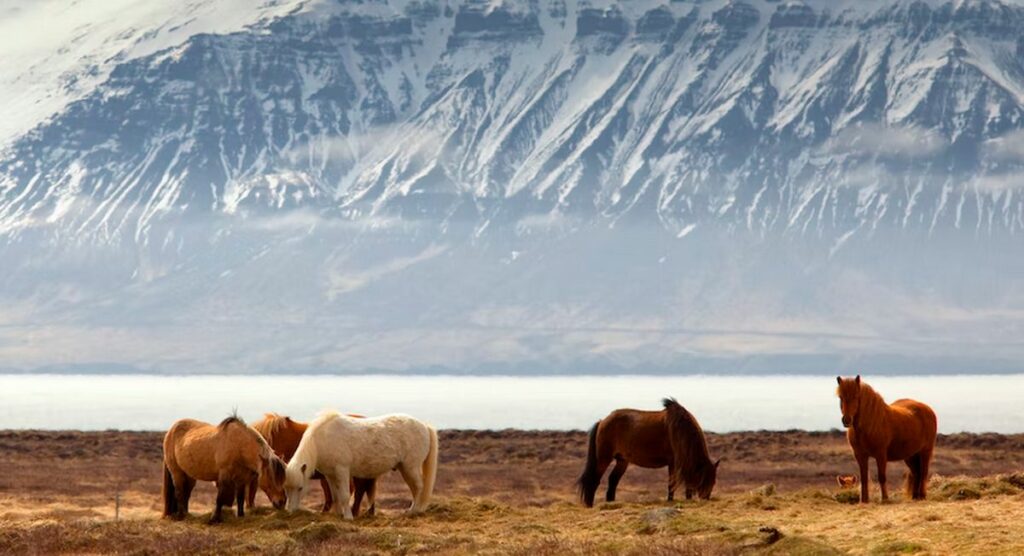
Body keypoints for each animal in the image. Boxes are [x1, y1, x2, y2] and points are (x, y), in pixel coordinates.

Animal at [284, 411, 440, 520]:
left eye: (300, 488)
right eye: (286, 489)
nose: (290, 512)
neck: (322, 439)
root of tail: (424, 426)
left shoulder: (342, 471)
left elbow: (345, 495)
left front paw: (348, 517)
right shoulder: (330, 475)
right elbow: (336, 496)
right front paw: (338, 515)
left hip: (410, 467)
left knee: (419, 487)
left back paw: (413, 511)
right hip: (405, 468)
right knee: (415, 489)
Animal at [577, 395, 720, 509]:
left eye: (713, 481)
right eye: (705, 480)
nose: (706, 499)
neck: (681, 430)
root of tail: (602, 421)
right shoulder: (673, 462)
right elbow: (671, 483)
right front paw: (670, 501)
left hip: (622, 460)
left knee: (613, 480)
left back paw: (611, 503)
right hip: (603, 458)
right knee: (594, 480)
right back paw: (590, 505)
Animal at [835, 374, 937, 503]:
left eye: (856, 396)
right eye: (840, 397)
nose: (846, 420)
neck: (869, 425)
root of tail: (928, 410)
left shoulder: (881, 455)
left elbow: (881, 476)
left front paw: (885, 499)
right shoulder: (860, 455)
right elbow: (864, 478)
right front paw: (864, 500)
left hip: (925, 451)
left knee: (923, 472)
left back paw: (922, 496)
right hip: (910, 455)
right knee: (916, 473)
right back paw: (915, 496)